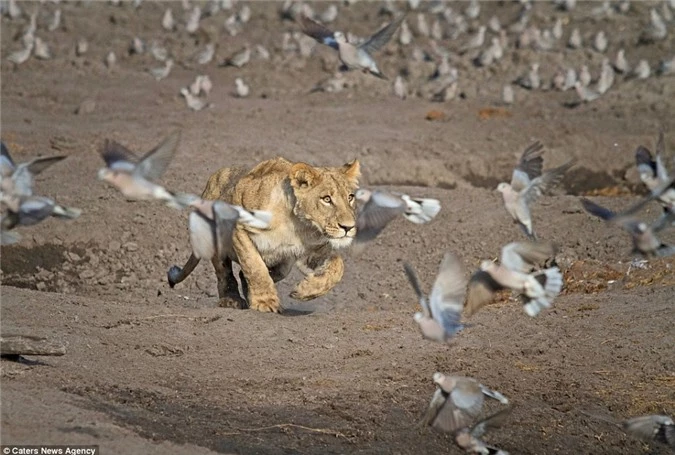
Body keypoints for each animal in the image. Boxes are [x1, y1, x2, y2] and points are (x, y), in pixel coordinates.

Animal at [167, 158, 362, 314]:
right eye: (326, 199)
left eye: (350, 197)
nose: (348, 227)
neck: (299, 225)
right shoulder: (239, 227)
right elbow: (254, 266)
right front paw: (265, 301)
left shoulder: (313, 251)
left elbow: (337, 266)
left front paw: (305, 291)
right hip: (212, 236)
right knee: (225, 272)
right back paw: (231, 300)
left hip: (284, 265)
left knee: (246, 274)